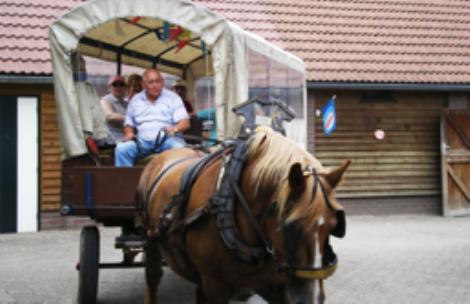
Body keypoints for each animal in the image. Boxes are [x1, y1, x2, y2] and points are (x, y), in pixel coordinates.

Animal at [138, 128, 350, 304]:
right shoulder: (215, 288)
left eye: (333, 226)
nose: (312, 298)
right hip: (152, 245)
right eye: (292, 226)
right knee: (152, 280)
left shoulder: (275, 285)